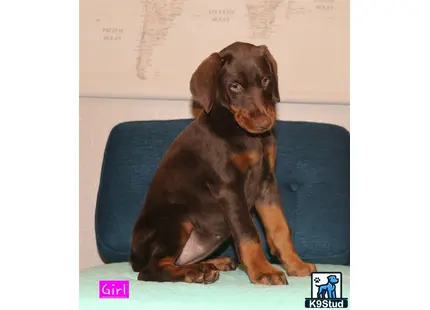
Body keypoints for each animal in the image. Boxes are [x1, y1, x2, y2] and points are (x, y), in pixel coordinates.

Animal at [128, 41, 316, 286]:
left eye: (266, 80)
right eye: (234, 86)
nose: (264, 123)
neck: (245, 135)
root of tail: (133, 257)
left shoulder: (266, 182)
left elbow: (280, 227)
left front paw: (296, 264)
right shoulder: (228, 187)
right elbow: (248, 232)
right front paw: (263, 271)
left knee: (175, 261)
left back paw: (213, 264)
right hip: (176, 219)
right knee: (151, 269)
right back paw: (196, 272)